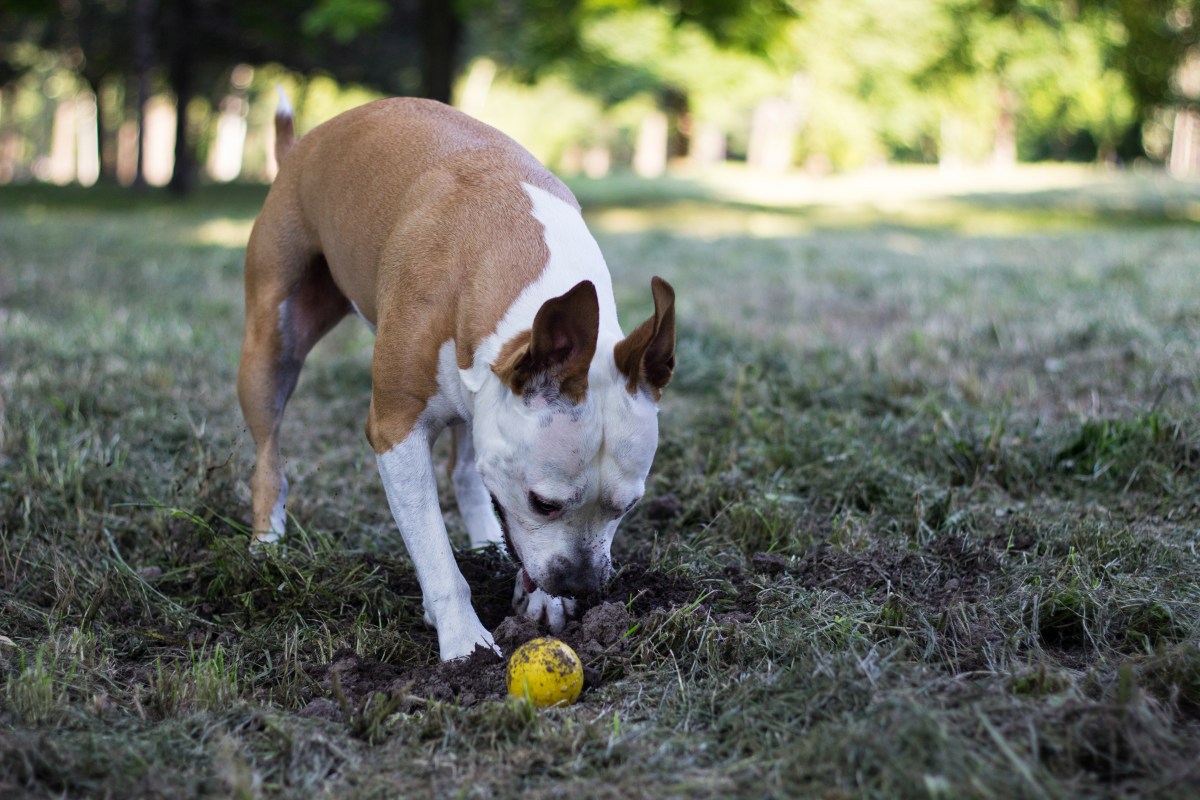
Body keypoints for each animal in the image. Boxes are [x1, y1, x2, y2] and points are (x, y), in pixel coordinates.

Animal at [236, 90, 676, 662]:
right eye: (543, 503)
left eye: (630, 505)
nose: (580, 585)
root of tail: (300, 147)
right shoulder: (395, 430)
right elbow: (434, 551)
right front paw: (464, 641)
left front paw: (542, 601)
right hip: (271, 346)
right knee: (268, 452)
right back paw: (267, 544)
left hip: (473, 405)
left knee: (466, 470)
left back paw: (488, 542)